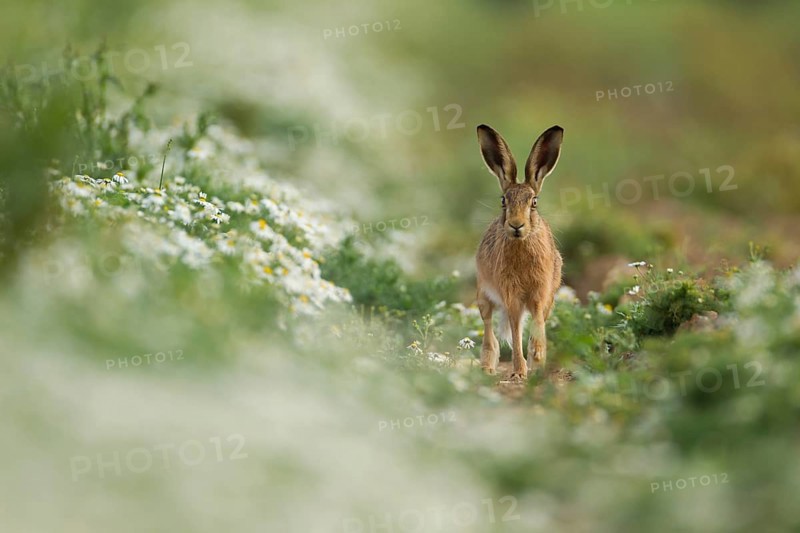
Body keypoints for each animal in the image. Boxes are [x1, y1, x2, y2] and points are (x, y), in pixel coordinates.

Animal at [475, 124, 564, 380]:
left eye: (534, 202)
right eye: (503, 201)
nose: (516, 225)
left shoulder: (540, 293)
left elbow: (537, 324)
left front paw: (538, 359)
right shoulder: (511, 295)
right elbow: (515, 332)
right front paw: (519, 371)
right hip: (483, 295)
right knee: (489, 328)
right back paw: (487, 367)